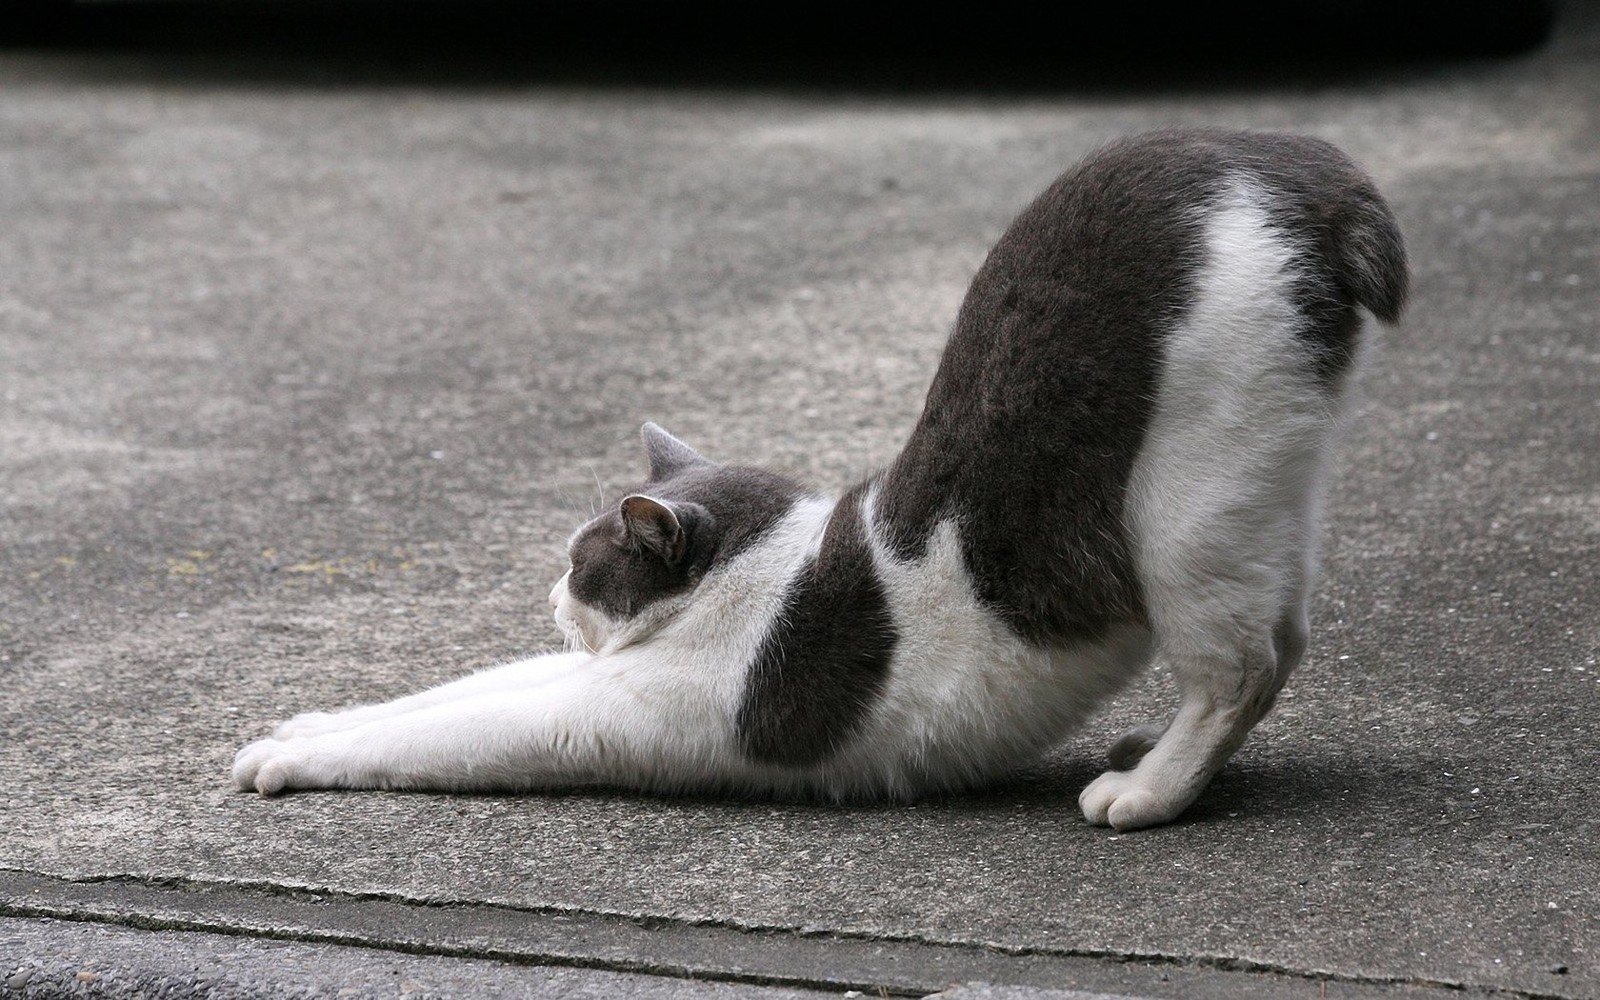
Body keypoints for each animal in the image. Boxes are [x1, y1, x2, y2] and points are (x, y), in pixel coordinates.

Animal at [232, 126, 1408, 825]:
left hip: (1188, 506)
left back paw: (1149, 788)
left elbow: (453, 728)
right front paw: (306, 724)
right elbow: (456, 688)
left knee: (1240, 663)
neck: (756, 570)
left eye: (581, 563)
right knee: (1286, 634)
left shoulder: (617, 710)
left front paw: (287, 759)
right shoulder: (591, 675)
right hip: (1272, 487)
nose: (550, 593)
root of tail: (1295, 162)